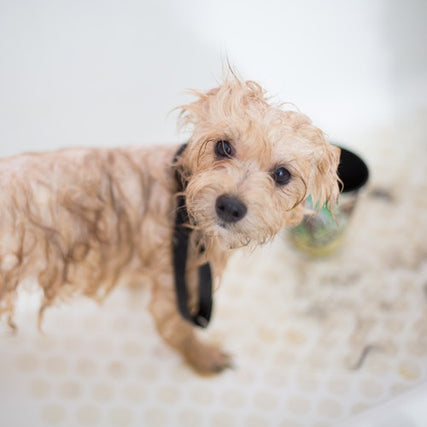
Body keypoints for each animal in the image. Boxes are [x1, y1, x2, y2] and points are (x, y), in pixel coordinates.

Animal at [0, 73, 342, 374]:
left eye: (282, 174)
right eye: (223, 146)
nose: (230, 206)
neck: (181, 195)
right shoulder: (176, 281)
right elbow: (178, 330)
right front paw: (204, 357)